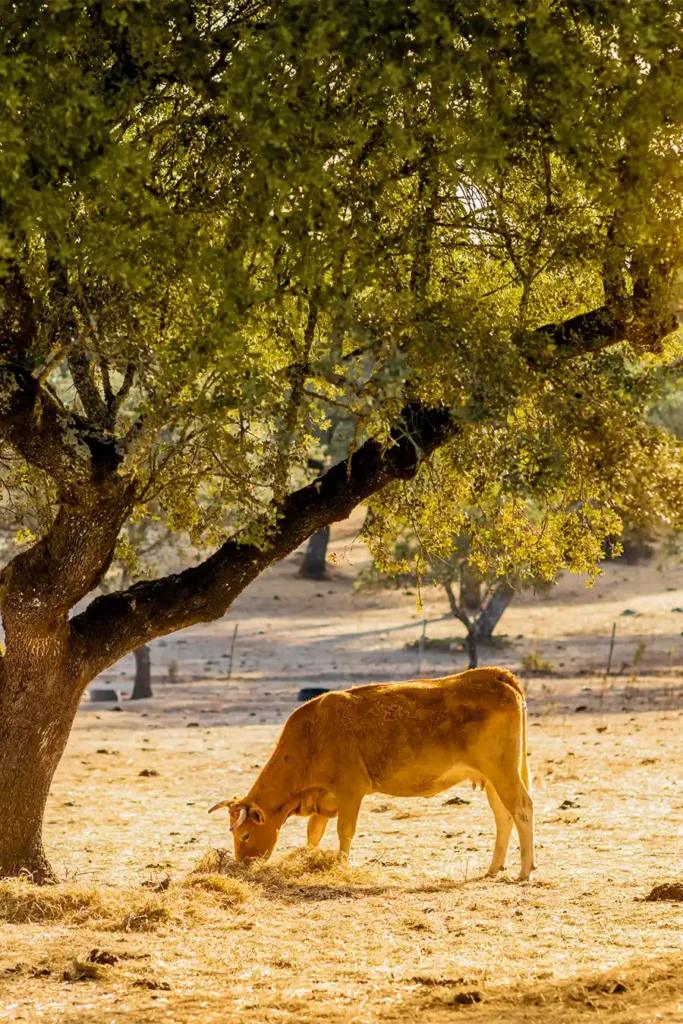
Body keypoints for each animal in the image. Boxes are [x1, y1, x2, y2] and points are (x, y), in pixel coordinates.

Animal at [209, 667, 535, 880]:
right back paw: (493, 868)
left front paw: (341, 866)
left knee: (521, 808)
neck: (313, 735)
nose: (241, 864)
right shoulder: (323, 798)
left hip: (502, 771)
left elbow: (345, 831)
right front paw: (309, 859)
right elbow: (314, 833)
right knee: (503, 815)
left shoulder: (350, 791)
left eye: (245, 834)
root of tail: (494, 675)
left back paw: (524, 871)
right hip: (493, 777)